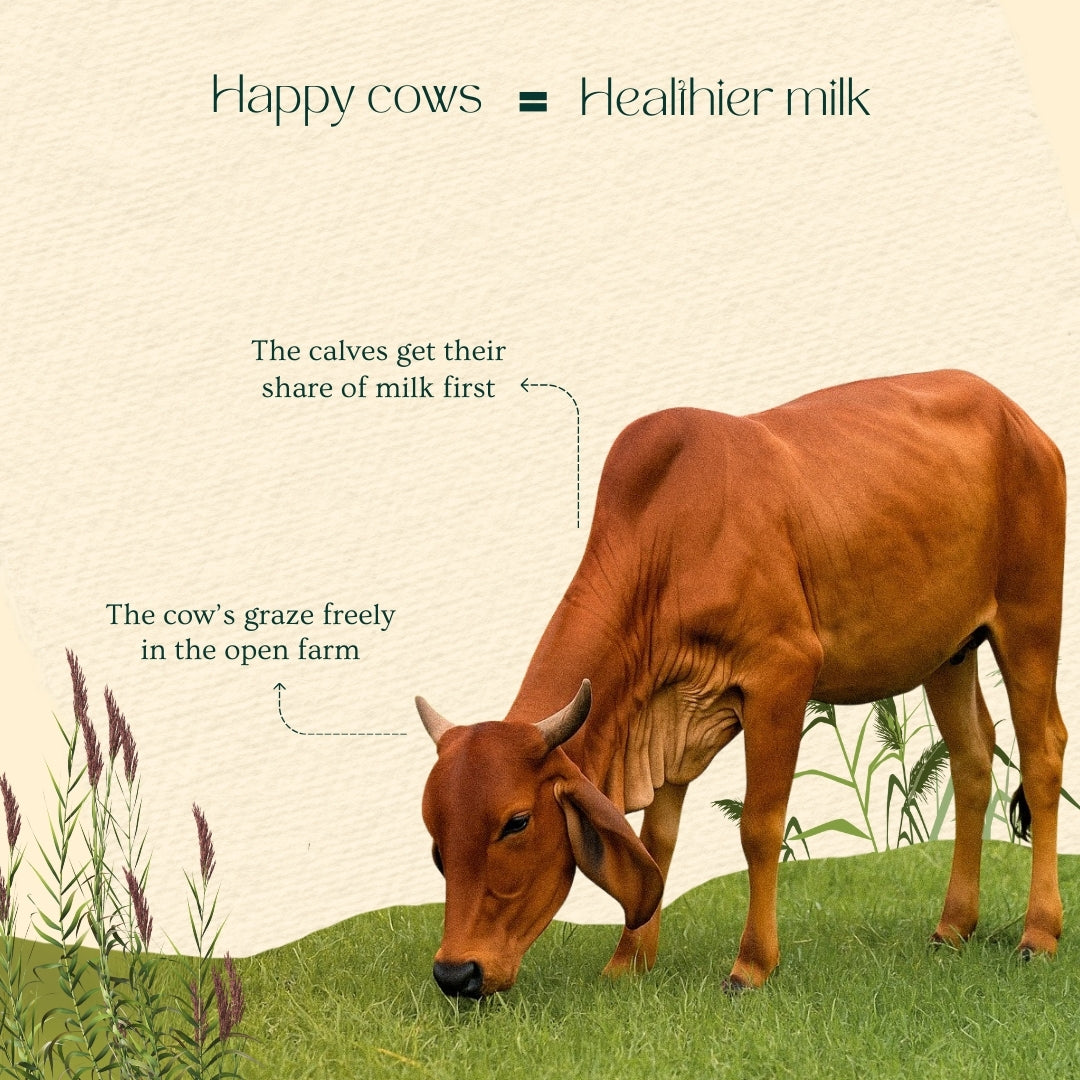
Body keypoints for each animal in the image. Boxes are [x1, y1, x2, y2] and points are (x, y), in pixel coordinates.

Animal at [418, 369, 1067, 998]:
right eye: (435, 840)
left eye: (517, 822)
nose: (456, 974)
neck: (671, 538)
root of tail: (1020, 419)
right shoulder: (669, 712)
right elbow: (658, 839)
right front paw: (628, 962)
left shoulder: (781, 676)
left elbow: (759, 828)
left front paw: (750, 966)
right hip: (948, 654)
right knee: (973, 760)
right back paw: (953, 926)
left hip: (1030, 621)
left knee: (1043, 754)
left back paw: (1038, 933)